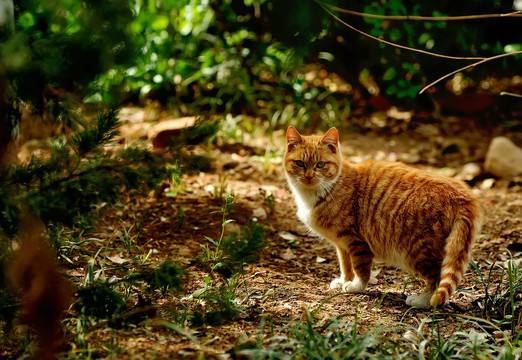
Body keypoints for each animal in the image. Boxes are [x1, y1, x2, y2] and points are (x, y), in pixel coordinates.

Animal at [282, 126, 482, 306]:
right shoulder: (341, 245)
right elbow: (345, 266)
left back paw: (422, 301)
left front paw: (355, 286)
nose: (309, 176)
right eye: (300, 163)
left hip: (419, 250)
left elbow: (360, 269)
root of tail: (463, 194)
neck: (327, 188)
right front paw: (344, 280)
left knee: (436, 278)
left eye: (320, 164)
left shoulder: (356, 241)